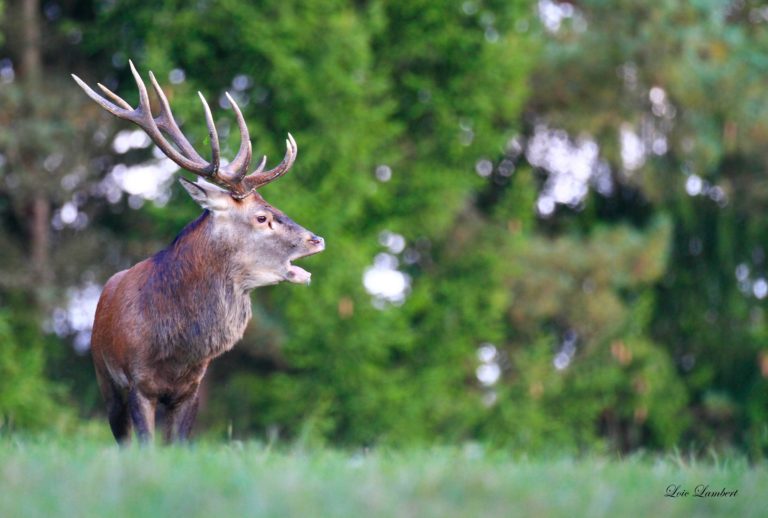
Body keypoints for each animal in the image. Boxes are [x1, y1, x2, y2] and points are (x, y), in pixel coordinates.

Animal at [72, 62, 325, 444]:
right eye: (262, 217)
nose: (316, 239)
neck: (175, 349)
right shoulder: (137, 384)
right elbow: (144, 445)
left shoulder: (191, 389)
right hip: (105, 379)